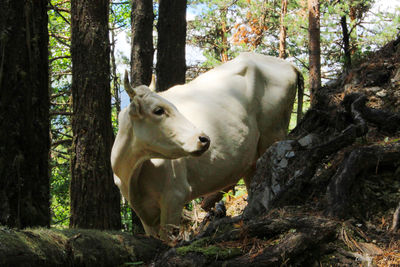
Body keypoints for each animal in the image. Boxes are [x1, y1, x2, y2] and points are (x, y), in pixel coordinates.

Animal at [110, 52, 304, 241]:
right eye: (158, 110)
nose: (204, 139)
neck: (132, 174)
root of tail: (288, 64)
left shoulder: (174, 197)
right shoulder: (144, 215)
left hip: (274, 134)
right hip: (252, 160)